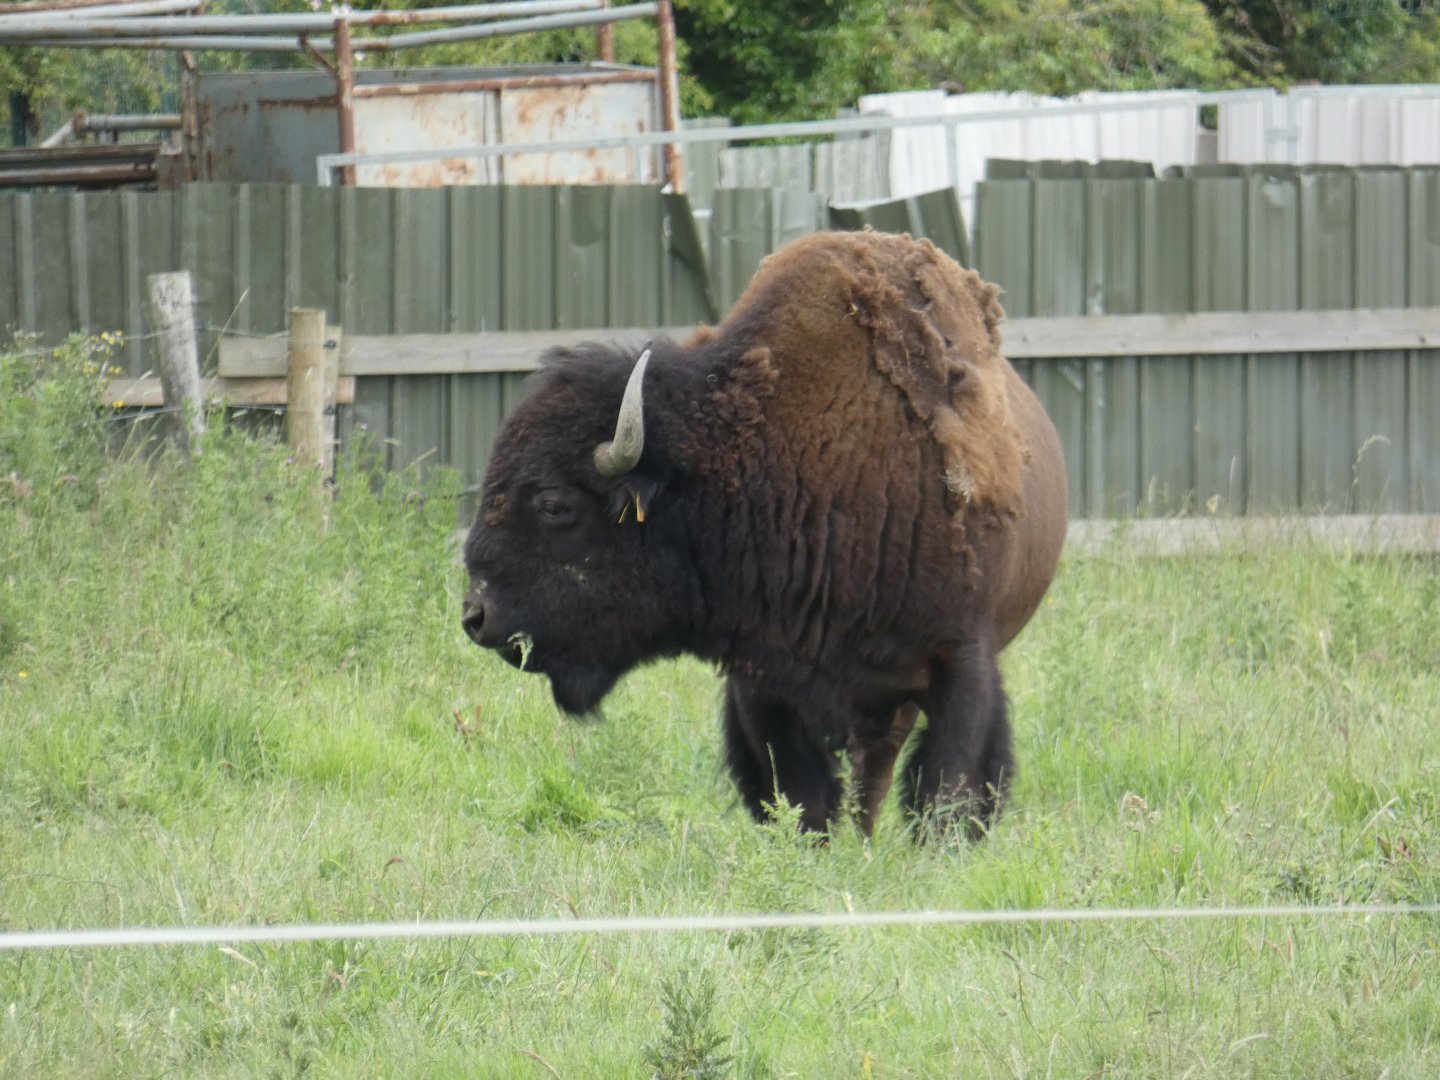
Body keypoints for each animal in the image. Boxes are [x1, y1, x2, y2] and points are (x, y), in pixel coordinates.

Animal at [462, 231, 1067, 838]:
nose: (476, 616)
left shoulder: (959, 661)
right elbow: (800, 796)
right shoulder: (761, 681)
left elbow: (948, 790)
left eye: (553, 504)